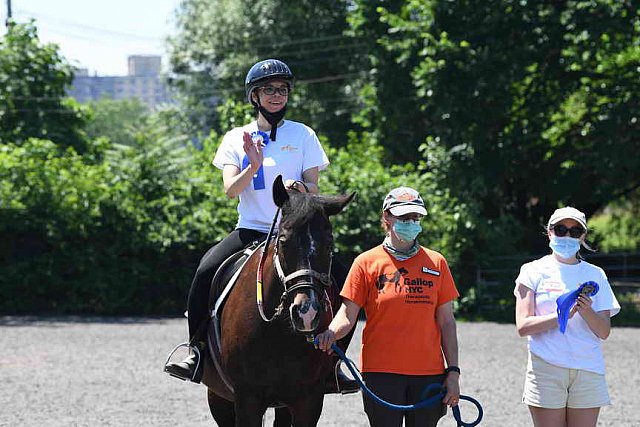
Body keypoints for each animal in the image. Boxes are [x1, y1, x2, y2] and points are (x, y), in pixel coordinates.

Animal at [200, 176, 356, 426]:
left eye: (330, 243)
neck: (278, 330)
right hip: (219, 396)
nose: (307, 312)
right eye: (283, 241)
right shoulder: (247, 398)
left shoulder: (308, 400)